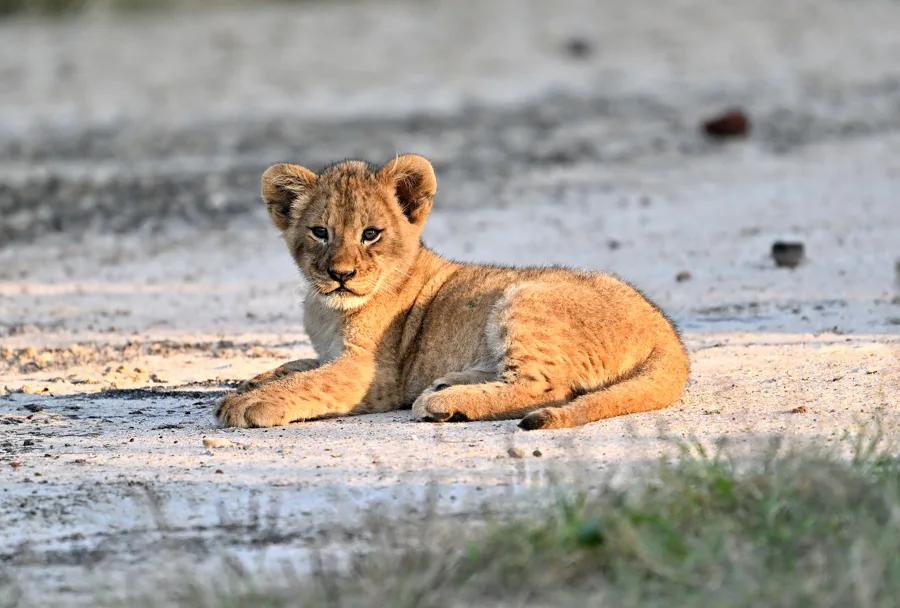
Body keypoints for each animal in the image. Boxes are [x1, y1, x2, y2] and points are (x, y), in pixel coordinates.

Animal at [217, 155, 689, 430]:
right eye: (320, 232)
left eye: (370, 234)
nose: (341, 275)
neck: (327, 309)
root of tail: (667, 333)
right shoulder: (332, 352)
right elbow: (299, 366)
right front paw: (254, 381)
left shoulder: (373, 372)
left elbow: (313, 381)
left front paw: (250, 403)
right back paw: (447, 385)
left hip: (525, 299)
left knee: (547, 387)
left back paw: (444, 402)